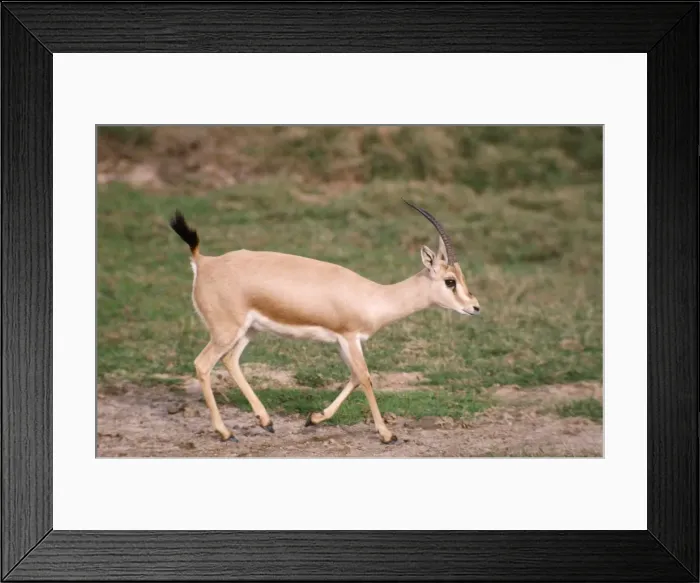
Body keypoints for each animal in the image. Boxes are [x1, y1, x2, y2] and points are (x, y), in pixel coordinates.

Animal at [169, 200, 480, 444]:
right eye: (450, 281)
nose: (475, 307)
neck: (373, 296)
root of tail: (204, 262)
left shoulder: (343, 342)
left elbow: (354, 377)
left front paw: (314, 418)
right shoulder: (350, 337)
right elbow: (365, 377)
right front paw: (387, 435)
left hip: (248, 331)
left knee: (230, 361)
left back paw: (266, 422)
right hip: (226, 331)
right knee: (202, 364)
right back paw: (225, 433)